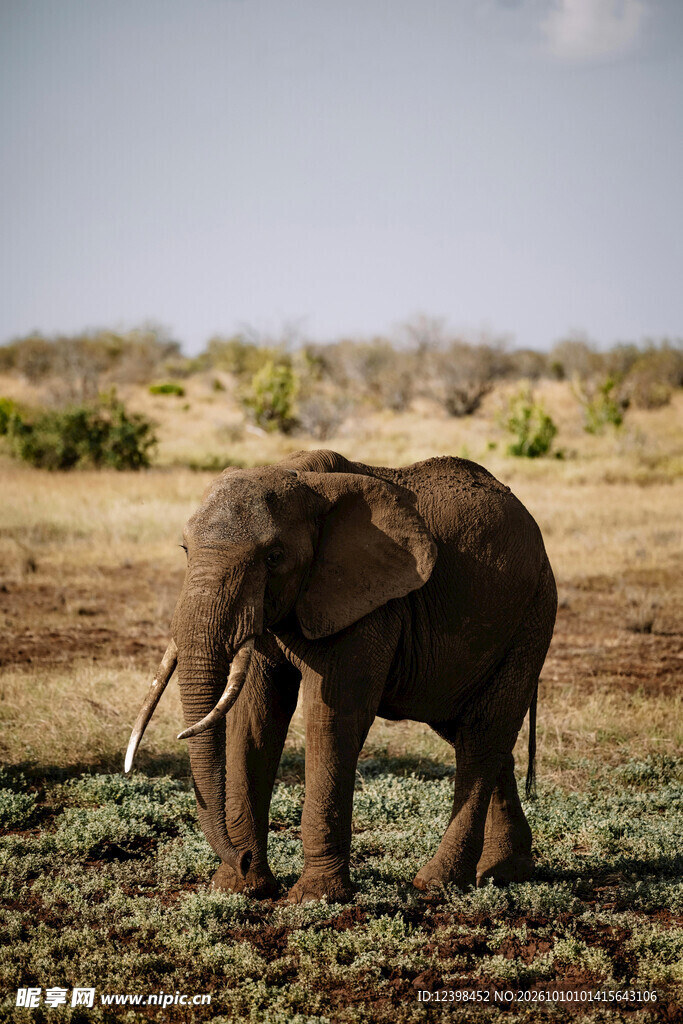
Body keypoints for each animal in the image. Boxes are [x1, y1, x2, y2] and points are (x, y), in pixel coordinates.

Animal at [125, 449, 556, 903]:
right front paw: (239, 888)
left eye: (273, 557)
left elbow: (332, 718)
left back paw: (438, 883)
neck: (299, 476)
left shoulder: (368, 605)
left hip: (531, 619)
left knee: (482, 737)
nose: (238, 860)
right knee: (473, 734)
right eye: (184, 549)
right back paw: (505, 872)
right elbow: (254, 718)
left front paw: (314, 898)